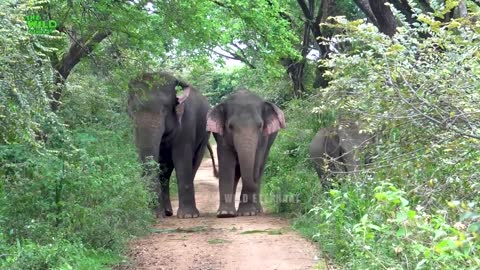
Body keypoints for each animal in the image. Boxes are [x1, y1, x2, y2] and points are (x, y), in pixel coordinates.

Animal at [126, 71, 213, 217]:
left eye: (165, 109)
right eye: (132, 111)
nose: (153, 212)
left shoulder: (187, 122)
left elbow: (182, 157)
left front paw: (188, 216)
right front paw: (156, 214)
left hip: (204, 134)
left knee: (194, 163)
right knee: (165, 170)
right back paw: (167, 212)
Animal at [206, 89, 284, 218]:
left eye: (260, 125)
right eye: (230, 126)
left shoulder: (263, 139)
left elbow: (256, 161)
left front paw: (247, 213)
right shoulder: (221, 137)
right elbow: (227, 163)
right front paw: (225, 214)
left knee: (260, 165)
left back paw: (257, 210)